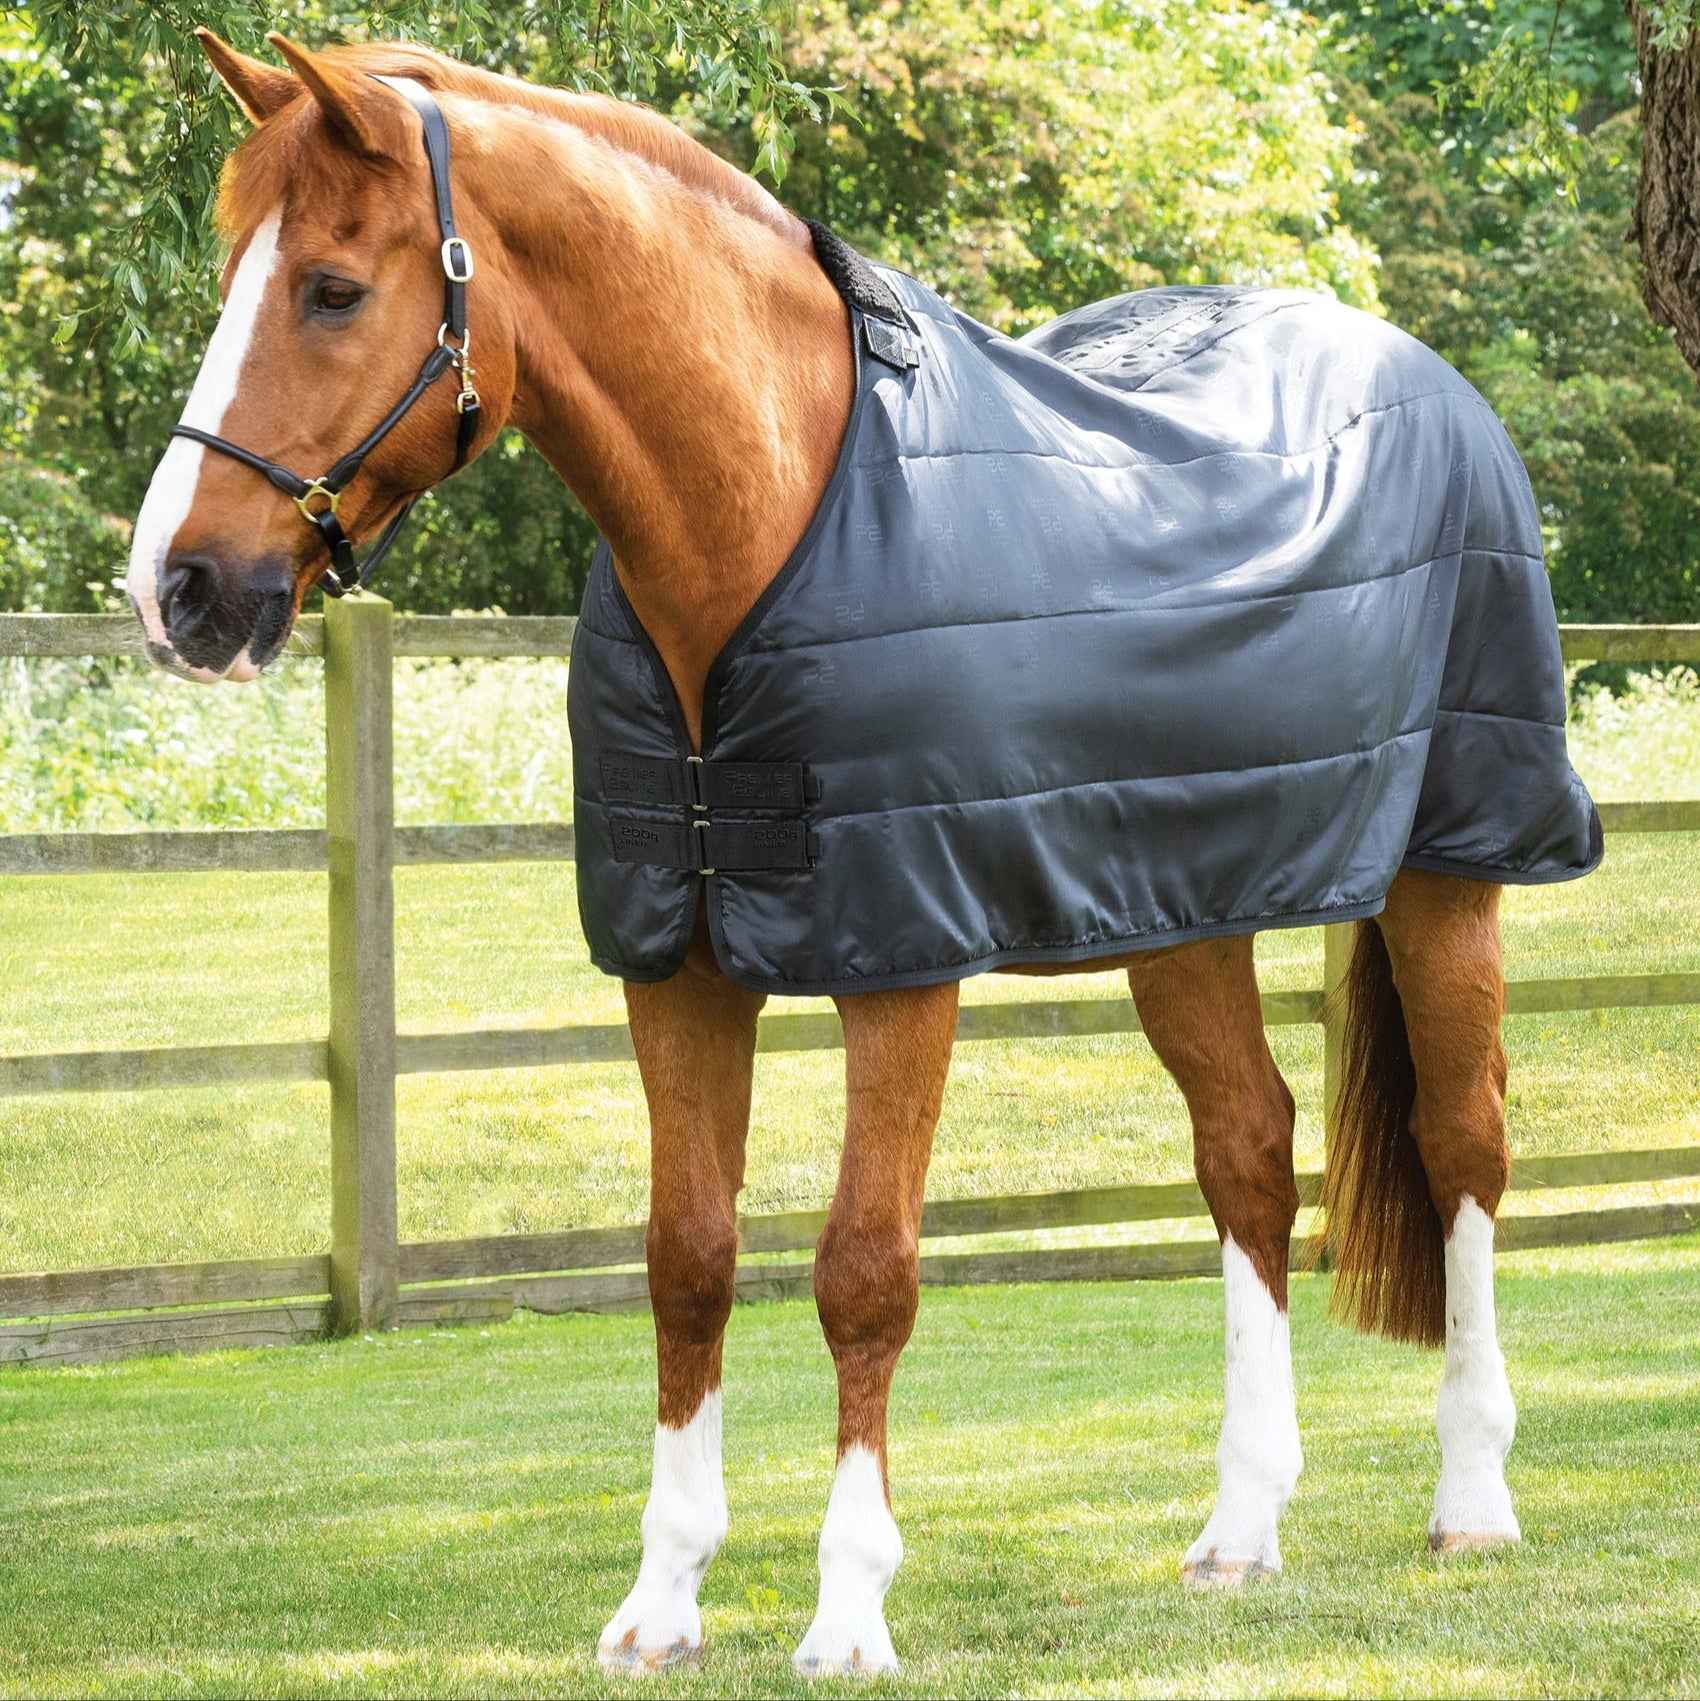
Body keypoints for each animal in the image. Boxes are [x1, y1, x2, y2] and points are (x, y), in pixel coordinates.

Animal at [125, 32, 1602, 1678]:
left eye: (329, 287)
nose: (176, 587)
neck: (773, 516)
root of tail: (1432, 383)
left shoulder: (902, 959)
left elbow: (863, 1271)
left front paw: (846, 1611)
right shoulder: (676, 963)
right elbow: (687, 1257)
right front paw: (661, 1603)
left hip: (1448, 869)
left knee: (1464, 1145)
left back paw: (1471, 1501)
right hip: (1181, 907)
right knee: (1247, 1151)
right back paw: (1239, 1529)